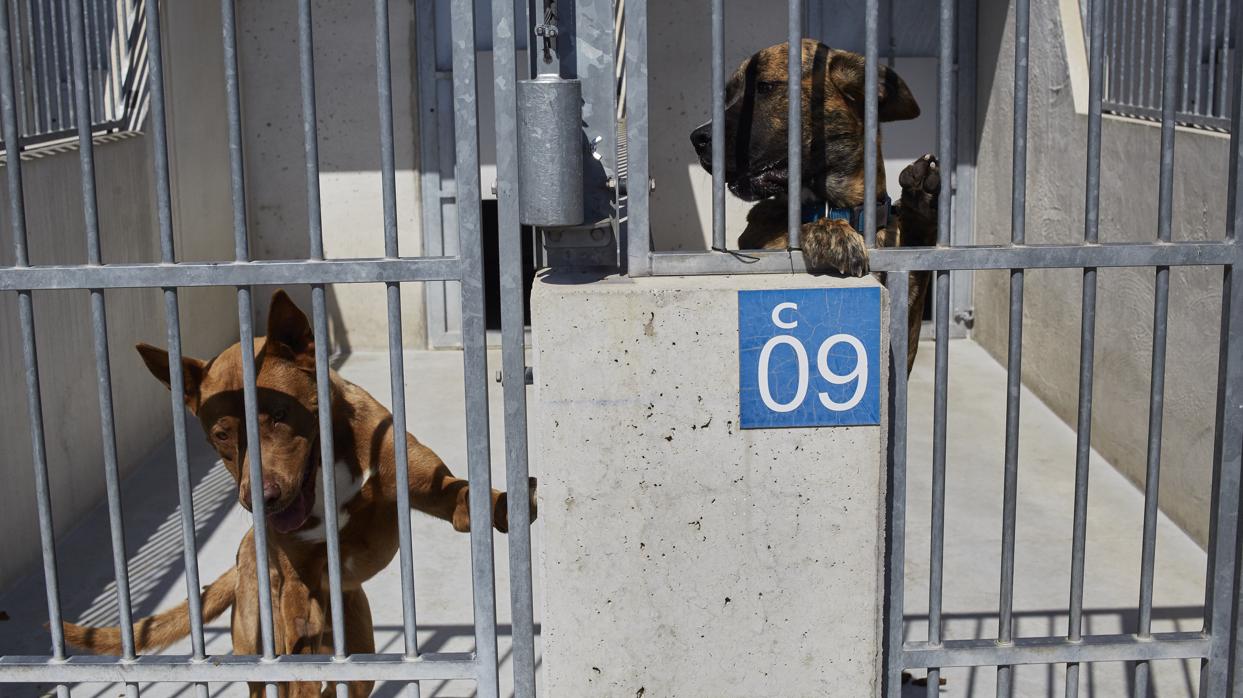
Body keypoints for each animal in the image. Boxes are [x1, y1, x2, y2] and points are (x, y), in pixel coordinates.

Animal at [61, 286, 534, 690]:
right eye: (221, 434)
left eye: (279, 414)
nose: (261, 501)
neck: (329, 469)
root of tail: (242, 553)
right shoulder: (297, 586)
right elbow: (300, 651)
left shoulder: (426, 485)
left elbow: (466, 497)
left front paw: (514, 502)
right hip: (262, 635)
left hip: (360, 648)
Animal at [691, 38, 939, 372]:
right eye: (728, 94)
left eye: (764, 87)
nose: (697, 138)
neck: (842, 207)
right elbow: (791, 231)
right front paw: (830, 232)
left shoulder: (903, 339)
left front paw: (920, 204)